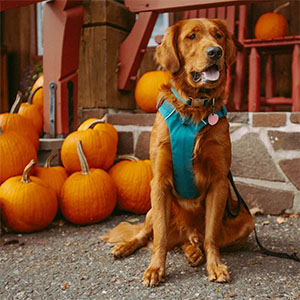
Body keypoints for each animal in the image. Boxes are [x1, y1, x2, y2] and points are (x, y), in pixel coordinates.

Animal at [102, 18, 253, 286]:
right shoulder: (159, 182)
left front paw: (215, 266)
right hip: (152, 209)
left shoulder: (219, 182)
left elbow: (211, 236)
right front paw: (155, 269)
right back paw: (125, 247)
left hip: (246, 219)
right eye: (192, 36)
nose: (215, 52)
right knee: (145, 235)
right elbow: (159, 238)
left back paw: (194, 251)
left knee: (195, 240)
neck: (194, 107)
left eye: (219, 35)